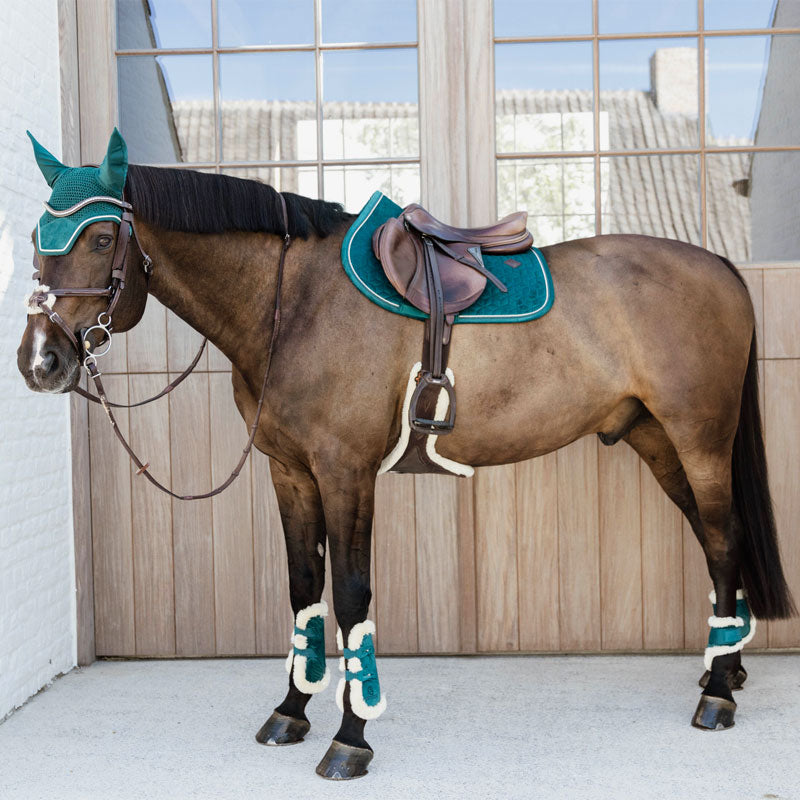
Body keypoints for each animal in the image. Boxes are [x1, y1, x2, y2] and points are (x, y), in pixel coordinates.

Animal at [17, 130, 795, 780]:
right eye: (36, 236)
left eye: (101, 237)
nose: (40, 360)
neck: (293, 304)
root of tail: (718, 265)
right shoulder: (289, 471)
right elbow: (304, 590)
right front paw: (290, 712)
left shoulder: (346, 473)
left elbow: (351, 596)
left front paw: (350, 739)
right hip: (656, 440)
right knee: (712, 541)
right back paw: (722, 669)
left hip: (699, 439)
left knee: (723, 539)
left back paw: (718, 696)